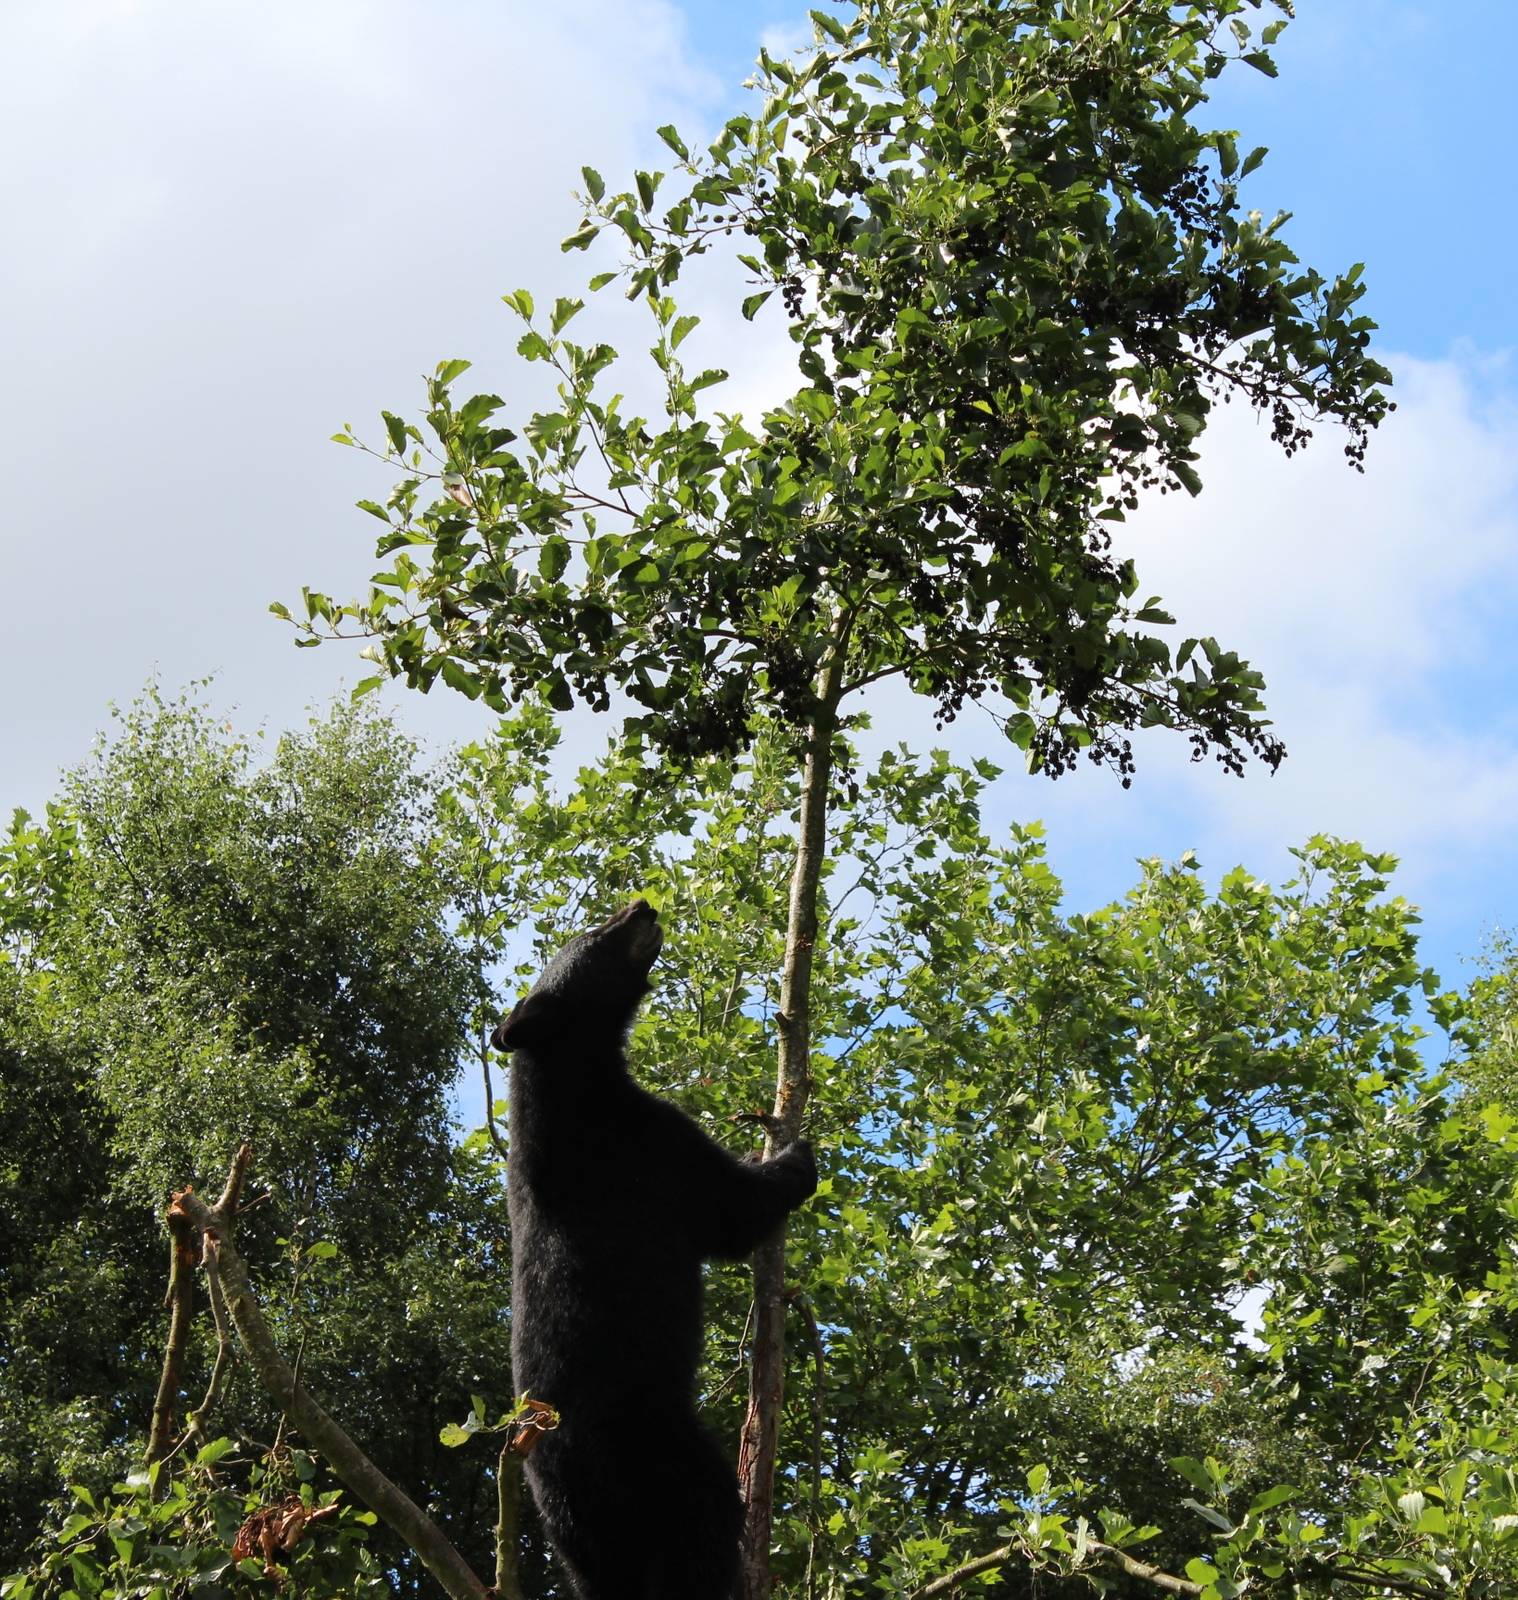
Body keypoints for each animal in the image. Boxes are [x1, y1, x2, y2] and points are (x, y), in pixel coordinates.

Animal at [492, 898, 818, 1600]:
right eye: (594, 933)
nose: (642, 905)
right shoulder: (651, 1148)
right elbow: (728, 1213)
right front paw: (791, 1156)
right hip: (664, 1443)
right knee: (707, 1514)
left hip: (577, 1528)